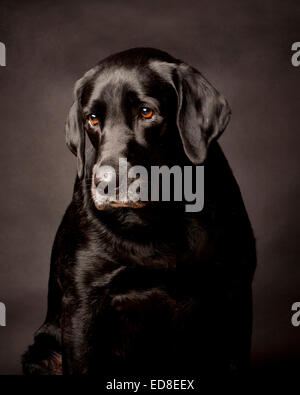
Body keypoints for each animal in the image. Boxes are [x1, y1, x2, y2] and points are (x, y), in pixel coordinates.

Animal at [21, 47, 255, 378]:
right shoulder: (82, 304)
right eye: (92, 118)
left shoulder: (234, 294)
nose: (106, 184)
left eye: (146, 112)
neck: (159, 213)